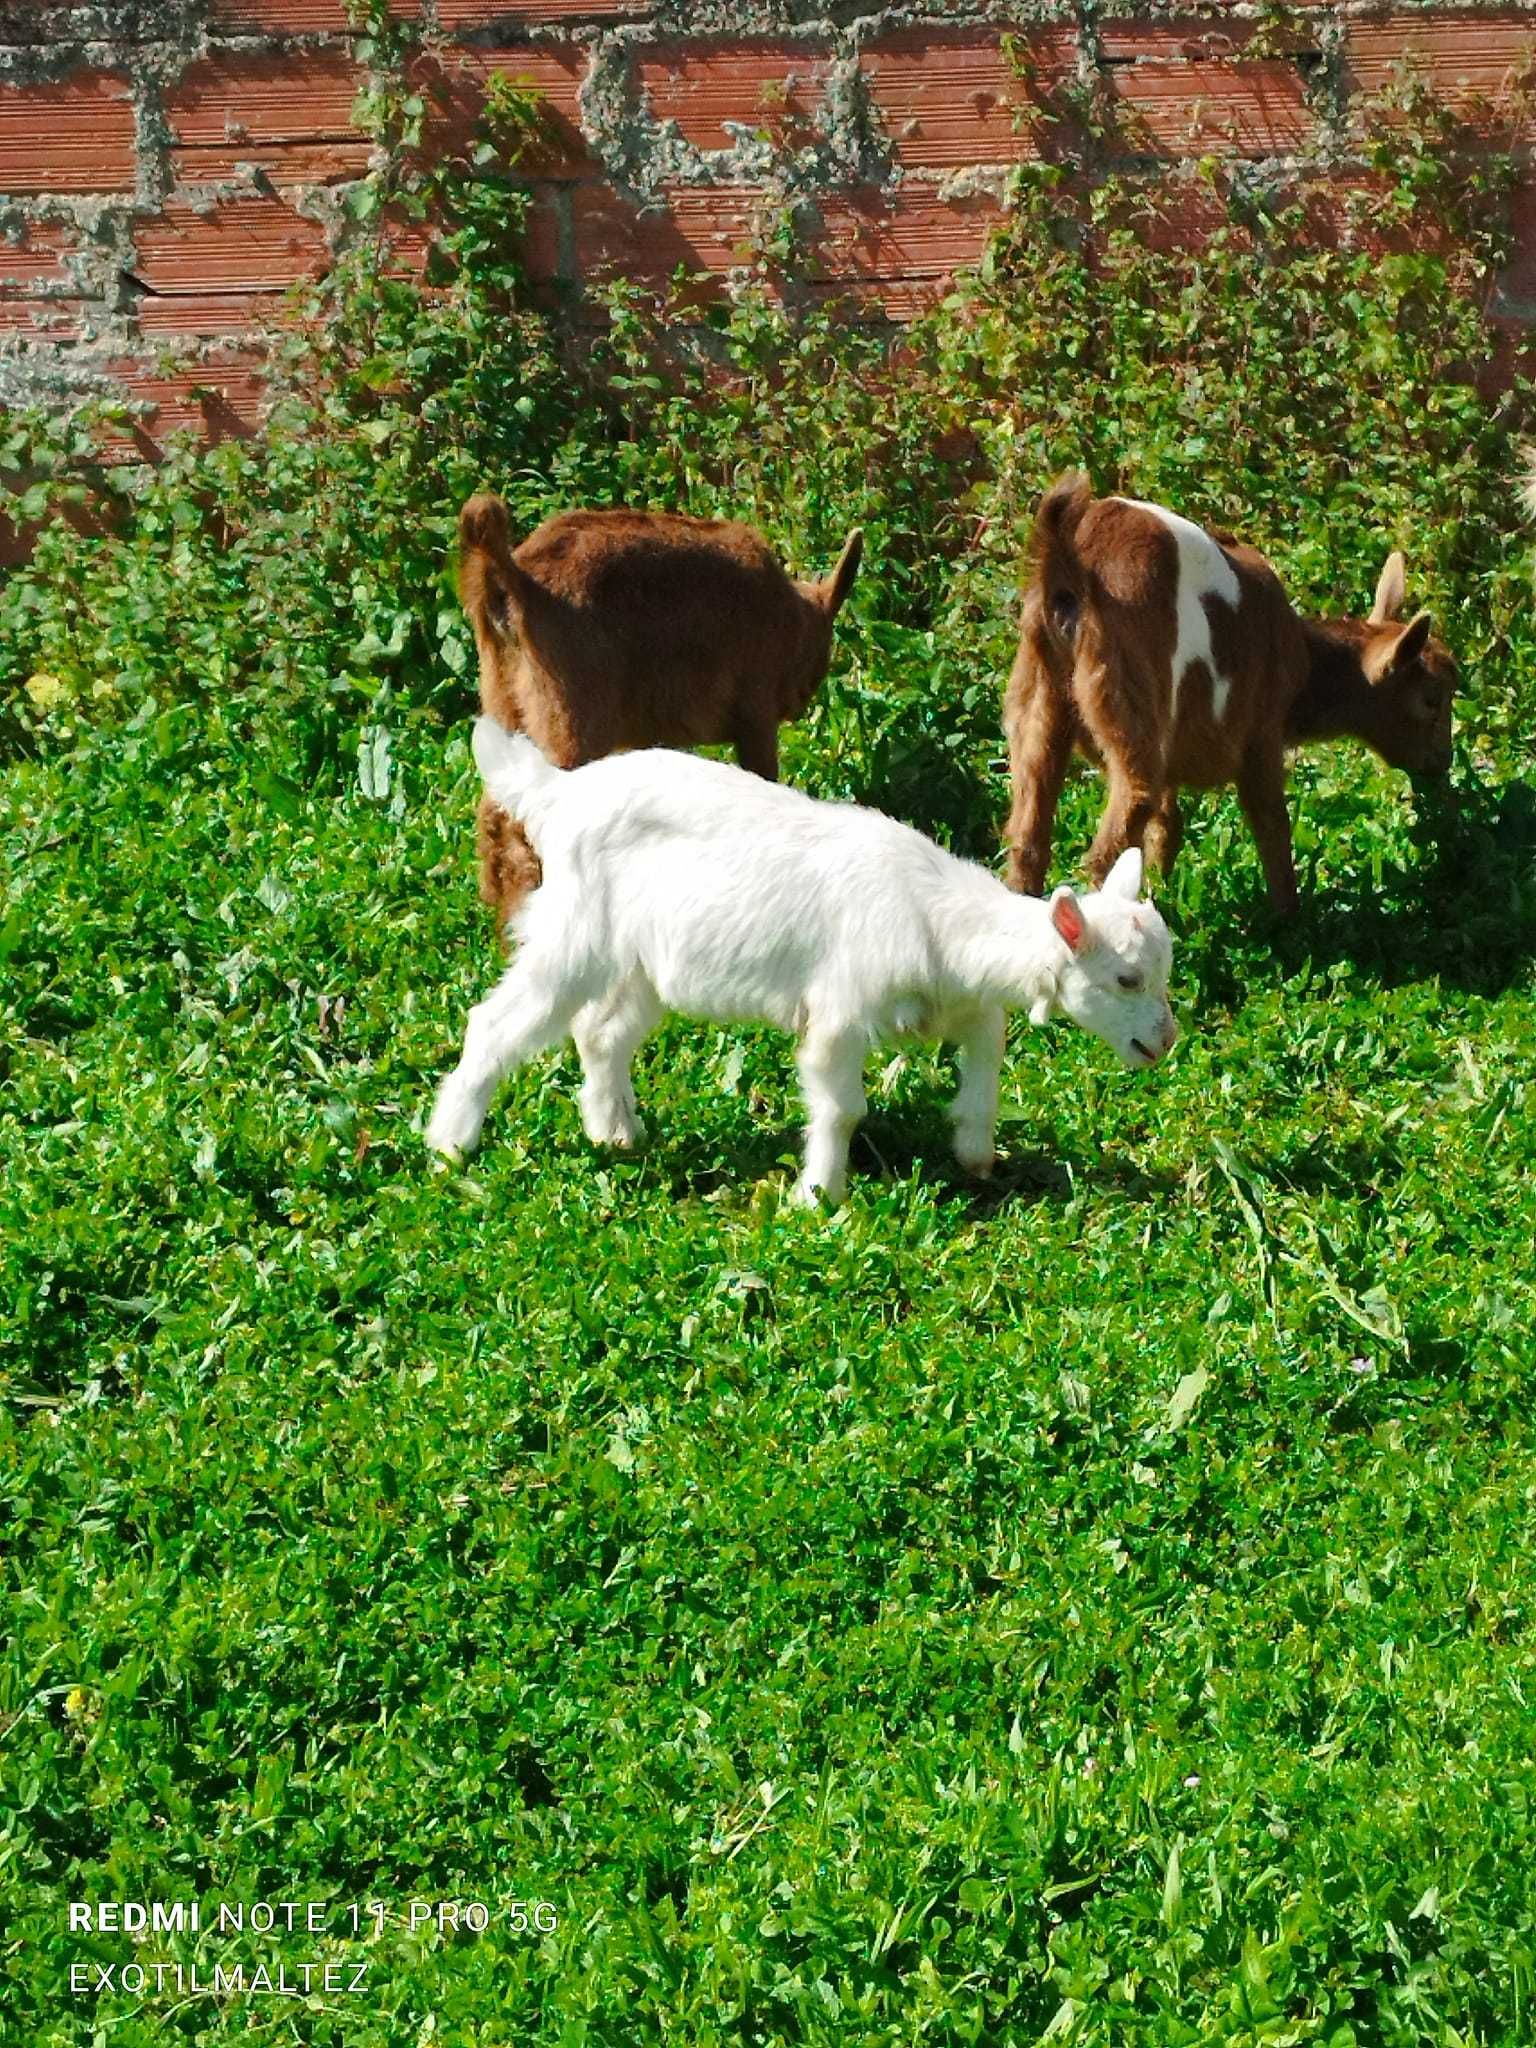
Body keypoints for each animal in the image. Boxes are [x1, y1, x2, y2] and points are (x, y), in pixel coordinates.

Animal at [456, 491, 868, 925]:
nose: (800, 703)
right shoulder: (756, 714)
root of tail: (513, 580)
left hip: (505, 704)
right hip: (569, 717)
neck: (791, 617)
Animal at [1003, 479, 1458, 913]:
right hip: (1128, 683)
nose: (1443, 761)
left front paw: (1161, 893)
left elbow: (1168, 825)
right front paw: (1290, 919)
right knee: (1123, 820)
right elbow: (1271, 821)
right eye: (1432, 699)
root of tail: (1069, 561)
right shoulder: (1261, 729)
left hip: (1039, 687)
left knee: (1029, 830)